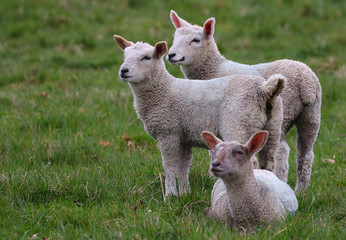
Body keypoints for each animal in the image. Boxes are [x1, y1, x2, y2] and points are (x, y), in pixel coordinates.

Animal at [112, 34, 286, 196]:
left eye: (147, 57)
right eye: (125, 56)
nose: (123, 71)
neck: (163, 91)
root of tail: (264, 89)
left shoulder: (168, 133)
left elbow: (169, 167)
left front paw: (169, 195)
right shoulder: (183, 137)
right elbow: (183, 168)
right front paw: (184, 193)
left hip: (239, 125)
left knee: (252, 162)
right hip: (273, 127)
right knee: (269, 163)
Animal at [168, 10, 322, 191]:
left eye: (196, 40)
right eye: (174, 37)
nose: (171, 55)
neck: (214, 68)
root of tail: (306, 84)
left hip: (285, 113)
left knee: (282, 151)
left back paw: (282, 181)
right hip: (311, 115)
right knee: (306, 153)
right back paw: (301, 190)